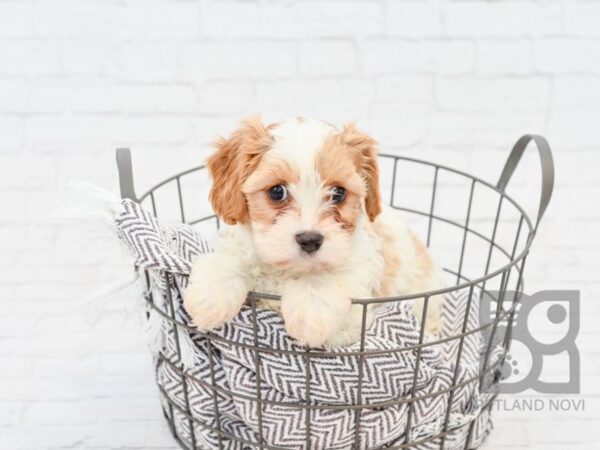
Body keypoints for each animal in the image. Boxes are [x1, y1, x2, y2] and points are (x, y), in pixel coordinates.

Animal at [185, 117, 442, 348]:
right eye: (277, 192)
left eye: (338, 193)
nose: (309, 240)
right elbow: (230, 259)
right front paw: (209, 298)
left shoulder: (355, 318)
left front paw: (310, 314)